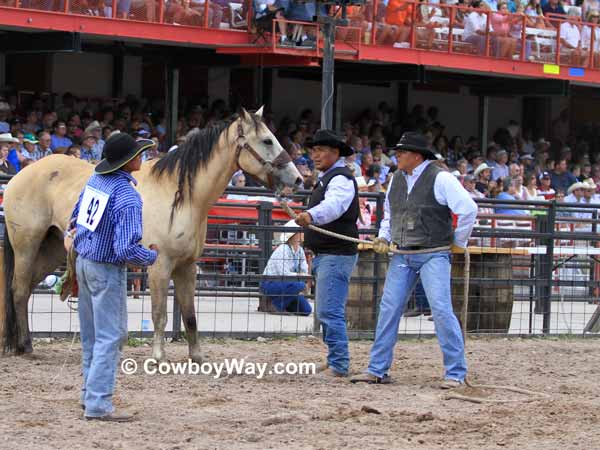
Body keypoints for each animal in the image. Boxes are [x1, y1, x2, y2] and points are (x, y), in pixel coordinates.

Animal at [0, 109, 300, 362]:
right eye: (267, 140)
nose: (297, 179)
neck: (181, 196)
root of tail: (20, 176)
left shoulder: (186, 267)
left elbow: (190, 315)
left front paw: (197, 357)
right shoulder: (159, 265)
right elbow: (160, 314)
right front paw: (158, 356)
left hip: (52, 249)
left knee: (25, 290)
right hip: (27, 246)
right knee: (18, 290)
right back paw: (26, 347)